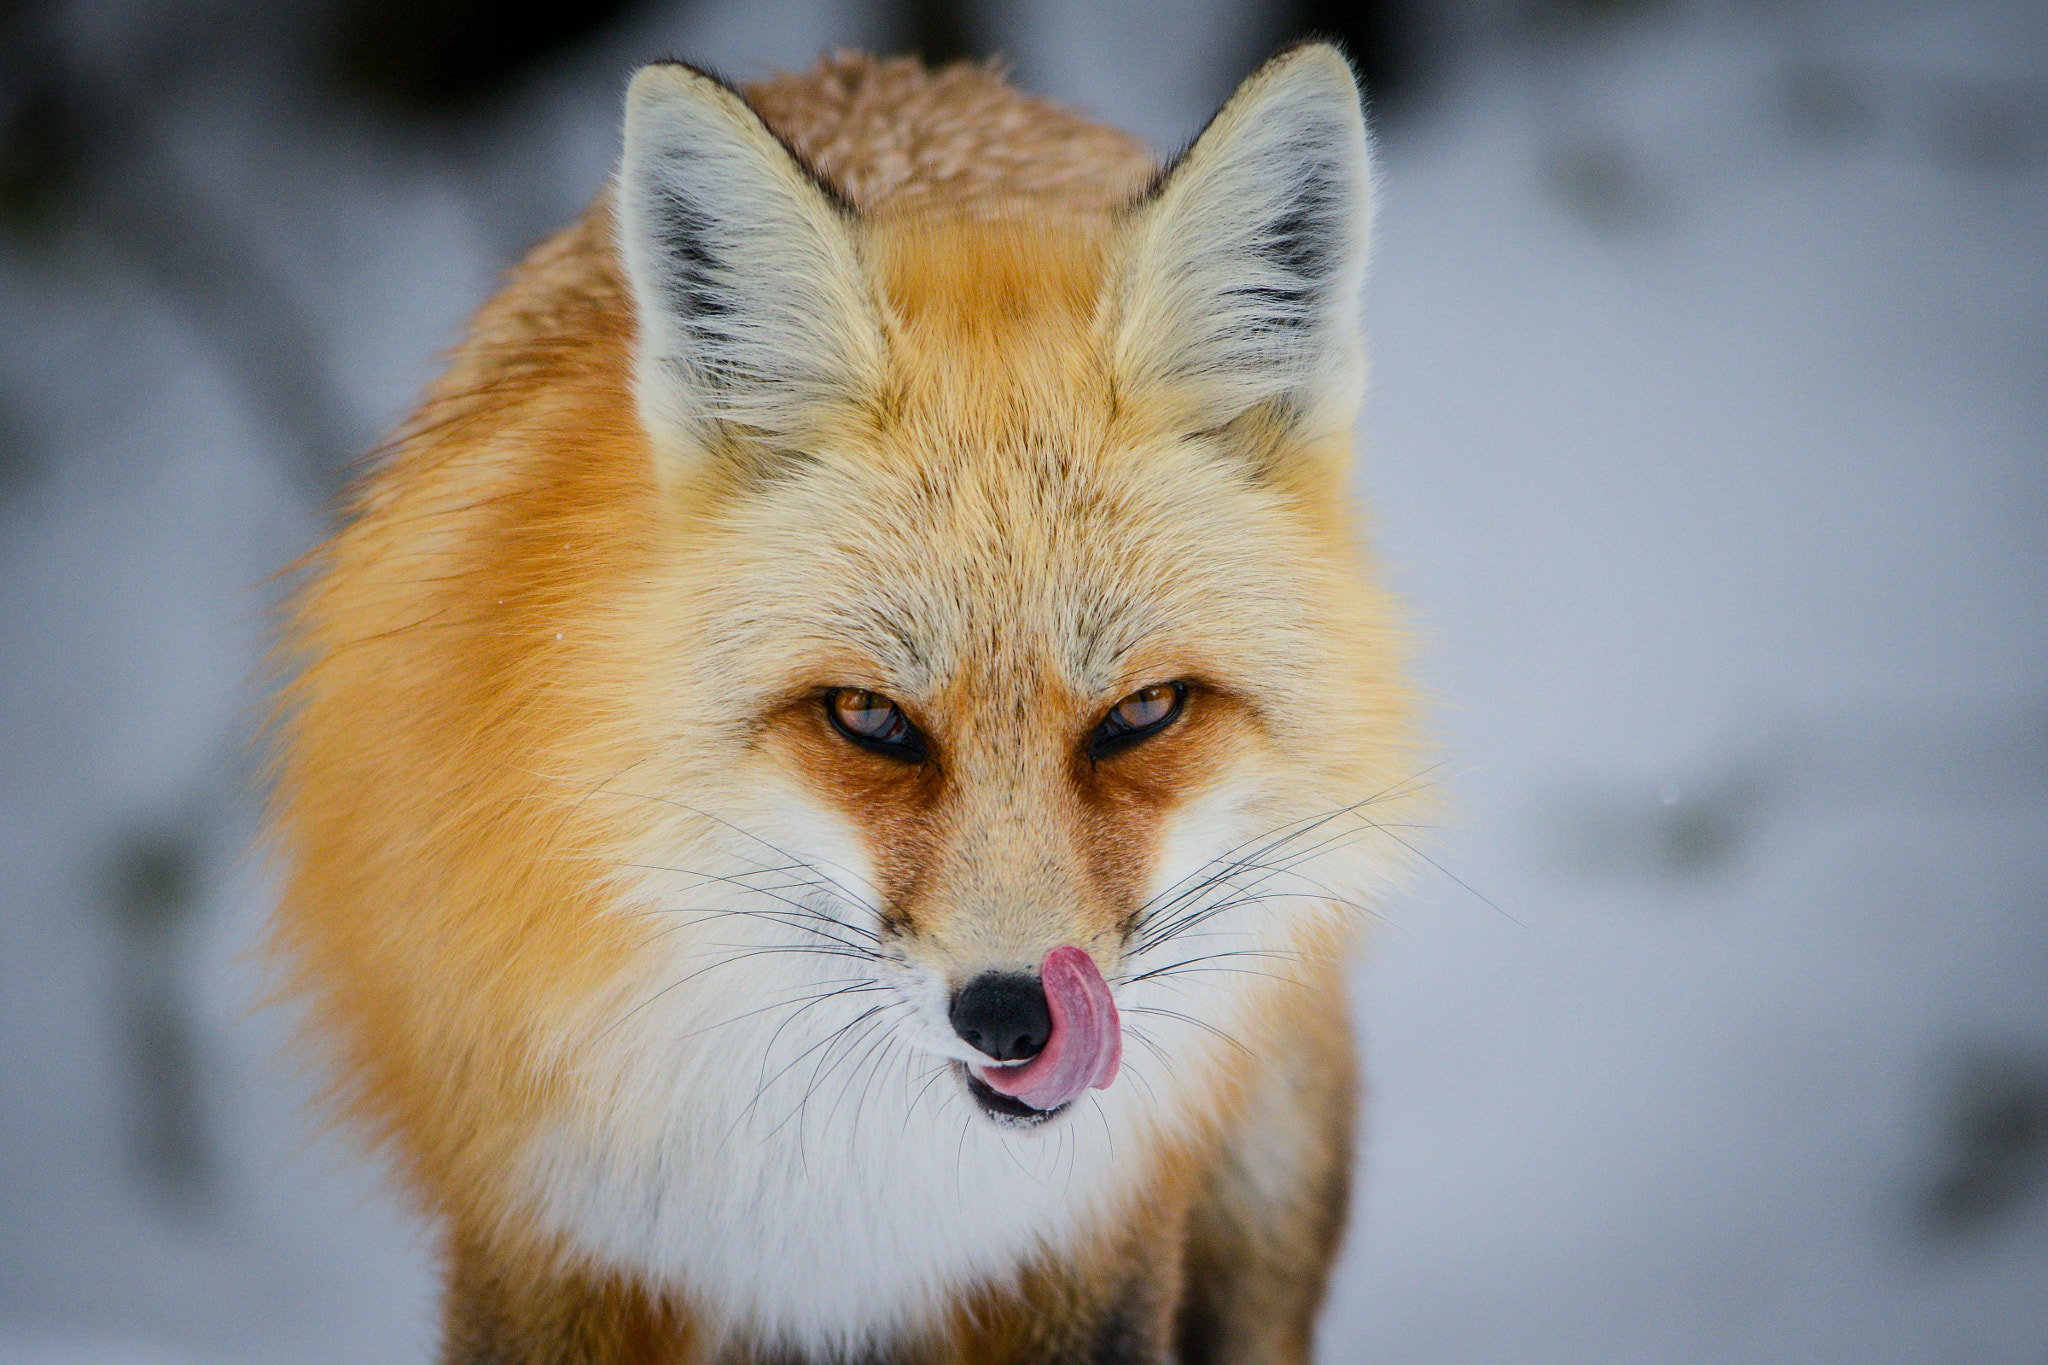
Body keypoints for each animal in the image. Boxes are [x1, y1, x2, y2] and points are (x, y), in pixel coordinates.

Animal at [265, 40, 1424, 1365]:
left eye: (1143, 713)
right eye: (869, 719)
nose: (1015, 1018)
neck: (841, 1198)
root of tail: (912, 70)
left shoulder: (1087, 1247)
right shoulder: (545, 1232)